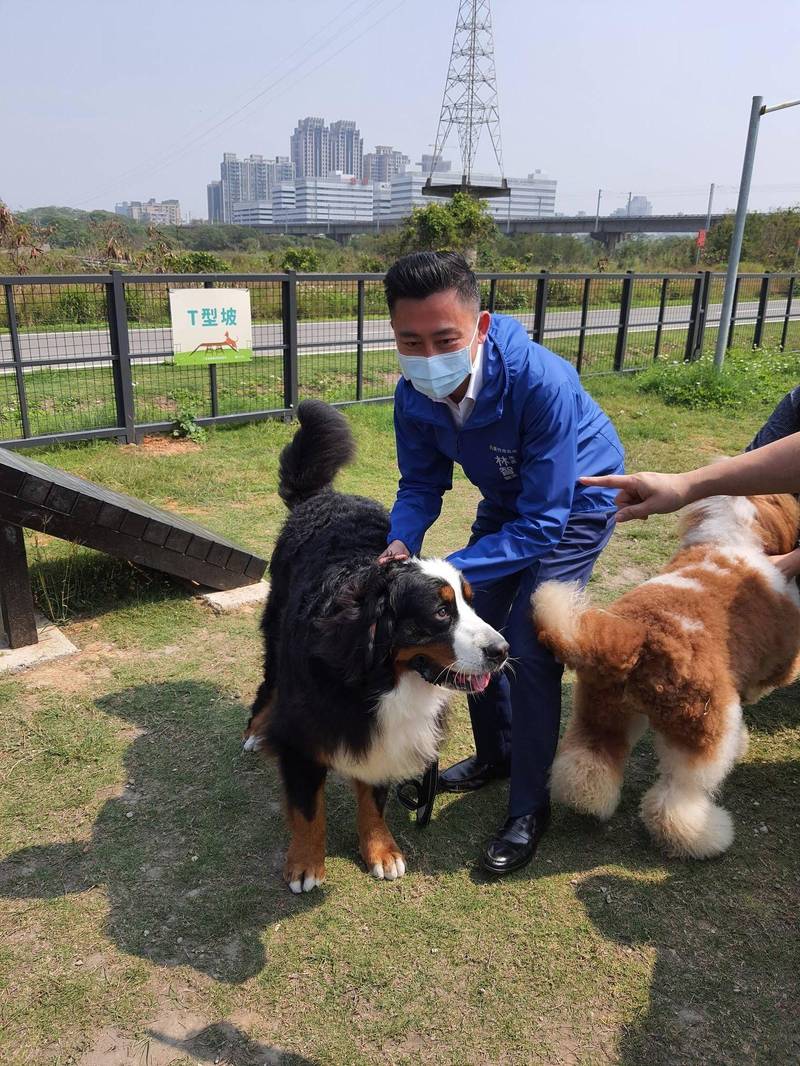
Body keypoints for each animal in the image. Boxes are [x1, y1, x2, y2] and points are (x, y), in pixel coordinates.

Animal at [243, 400, 507, 891]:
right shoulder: (304, 735)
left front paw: (381, 851)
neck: (379, 679)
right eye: (441, 612)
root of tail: (322, 497)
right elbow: (308, 810)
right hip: (274, 632)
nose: (501, 650)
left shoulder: (390, 739)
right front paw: (305, 864)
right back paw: (255, 731)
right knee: (268, 683)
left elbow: (374, 800)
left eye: (470, 601)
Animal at [533, 494, 800, 861]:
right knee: (677, 796)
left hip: (605, 709)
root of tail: (634, 634)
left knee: (588, 758)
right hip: (702, 724)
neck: (729, 537)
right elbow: (771, 680)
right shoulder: (780, 658)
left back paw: (588, 803)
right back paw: (707, 838)